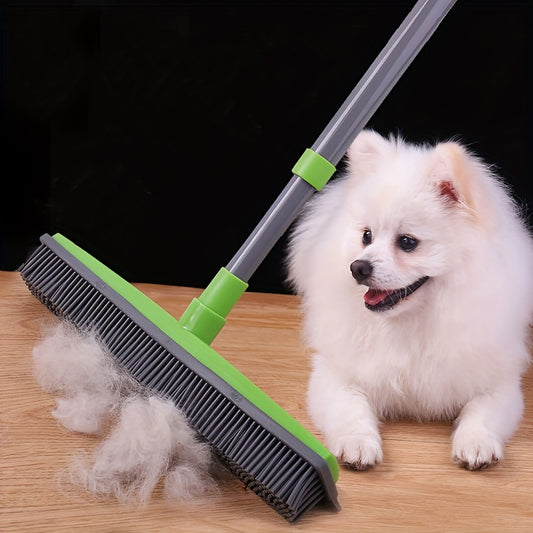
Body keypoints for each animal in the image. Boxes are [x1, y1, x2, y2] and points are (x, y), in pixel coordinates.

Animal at [286, 129, 532, 470]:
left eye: (407, 242)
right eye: (366, 236)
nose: (358, 267)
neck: (412, 321)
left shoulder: (498, 381)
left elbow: (482, 412)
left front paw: (476, 443)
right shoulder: (335, 373)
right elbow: (350, 409)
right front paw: (357, 444)